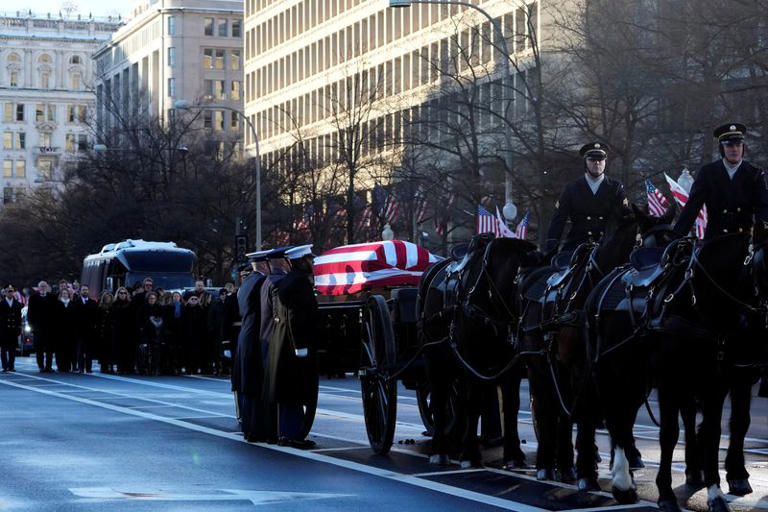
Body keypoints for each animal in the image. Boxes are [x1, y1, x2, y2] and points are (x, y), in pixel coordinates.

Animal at [416, 235, 536, 468]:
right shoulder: (473, 361)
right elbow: (474, 404)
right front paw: (470, 454)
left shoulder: (510, 365)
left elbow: (511, 405)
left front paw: (513, 454)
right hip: (434, 358)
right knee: (439, 400)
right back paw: (439, 449)